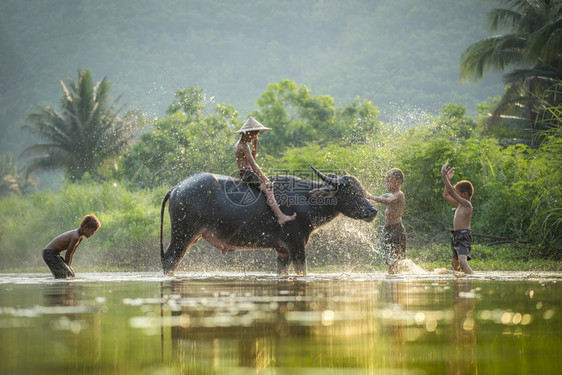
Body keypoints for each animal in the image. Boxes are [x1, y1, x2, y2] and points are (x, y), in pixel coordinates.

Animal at [159, 167, 376, 276]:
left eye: (361, 190)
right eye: (351, 192)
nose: (372, 211)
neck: (306, 200)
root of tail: (177, 187)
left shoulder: (283, 251)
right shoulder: (296, 245)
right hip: (183, 234)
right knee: (170, 259)